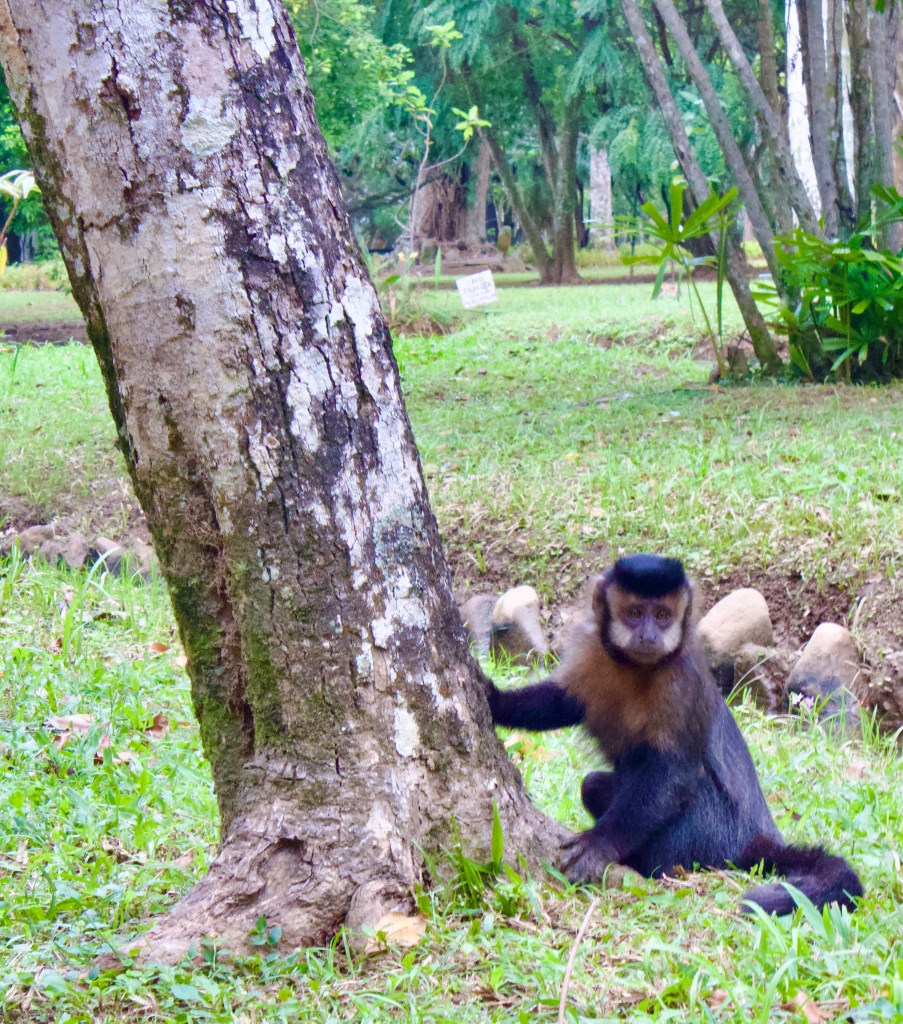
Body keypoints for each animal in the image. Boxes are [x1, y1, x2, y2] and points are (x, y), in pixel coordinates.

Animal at [485, 554, 863, 915]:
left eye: (663, 615)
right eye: (634, 613)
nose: (649, 635)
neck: (636, 668)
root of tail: (753, 838)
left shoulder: (682, 681)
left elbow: (675, 773)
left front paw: (601, 843)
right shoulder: (592, 649)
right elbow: (563, 702)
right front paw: (495, 699)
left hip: (713, 836)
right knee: (592, 784)